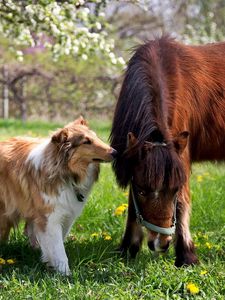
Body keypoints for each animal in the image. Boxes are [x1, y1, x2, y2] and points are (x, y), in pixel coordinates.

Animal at [0, 116, 116, 274]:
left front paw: (51, 264)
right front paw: (65, 274)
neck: (66, 173)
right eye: (86, 141)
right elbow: (58, 249)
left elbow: (55, 243)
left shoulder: (67, 214)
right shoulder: (50, 218)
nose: (115, 152)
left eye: (96, 137)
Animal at [110, 35, 225, 268]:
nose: (161, 243)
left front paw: (186, 255)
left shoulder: (182, 156)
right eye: (142, 190)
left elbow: (182, 203)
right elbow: (133, 206)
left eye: (174, 189)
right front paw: (128, 248)